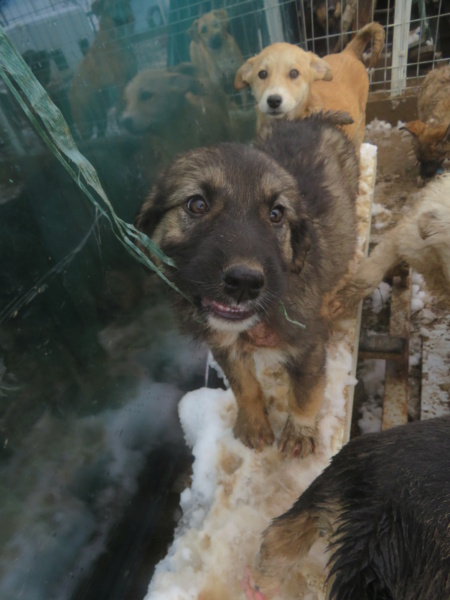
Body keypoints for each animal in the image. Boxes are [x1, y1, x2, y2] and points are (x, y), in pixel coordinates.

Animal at [68, 0, 137, 138]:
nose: (126, 20)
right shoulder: (121, 83)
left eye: (125, 4)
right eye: (110, 8)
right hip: (86, 123)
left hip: (100, 116)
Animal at [134, 115, 358, 458]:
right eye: (197, 204)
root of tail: (312, 118)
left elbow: (304, 394)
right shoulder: (224, 343)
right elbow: (244, 386)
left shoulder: (307, 345)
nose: (244, 283)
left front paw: (299, 432)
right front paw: (254, 424)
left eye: (276, 214)